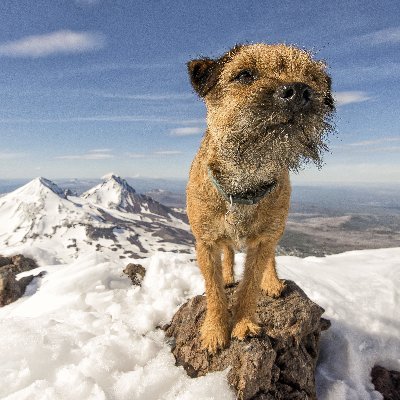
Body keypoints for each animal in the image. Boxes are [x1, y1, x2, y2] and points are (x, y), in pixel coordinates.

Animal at [185, 42, 334, 352]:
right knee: (229, 253)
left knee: (270, 258)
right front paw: (215, 330)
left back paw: (272, 281)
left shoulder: (264, 240)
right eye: (244, 75)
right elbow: (214, 290)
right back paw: (229, 275)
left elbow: (250, 285)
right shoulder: (205, 242)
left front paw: (243, 323)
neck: (245, 181)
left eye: (312, 77)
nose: (298, 91)